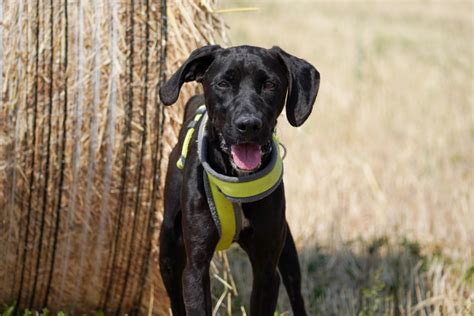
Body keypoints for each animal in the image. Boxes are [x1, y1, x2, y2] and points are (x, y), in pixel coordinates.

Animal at [158, 45, 318, 316]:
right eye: (223, 83)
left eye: (270, 84)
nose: (249, 124)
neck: (236, 181)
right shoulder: (195, 270)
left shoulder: (267, 272)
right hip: (168, 250)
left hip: (288, 253)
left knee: (296, 292)